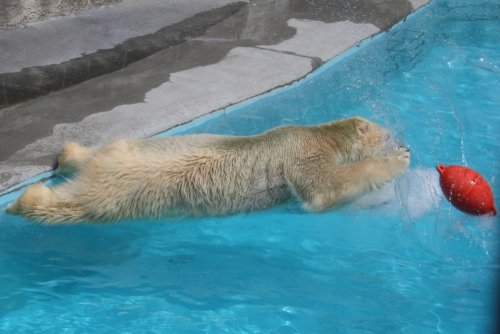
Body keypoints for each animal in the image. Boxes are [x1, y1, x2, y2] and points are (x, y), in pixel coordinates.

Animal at [5, 116, 408, 223]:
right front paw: (398, 159)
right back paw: (22, 201)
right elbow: (323, 187)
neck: (322, 133)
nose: (397, 136)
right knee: (80, 204)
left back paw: (69, 154)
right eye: (386, 132)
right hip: (122, 188)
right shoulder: (302, 151)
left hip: (123, 150)